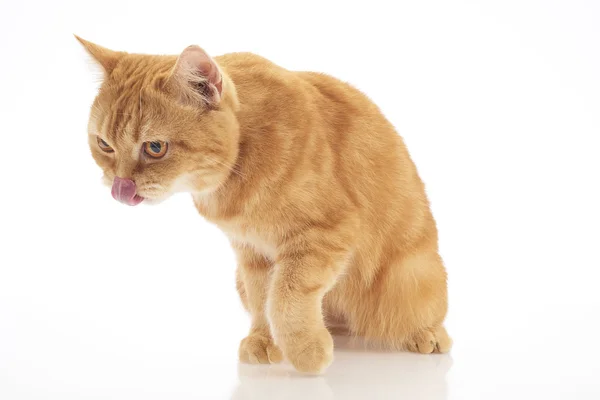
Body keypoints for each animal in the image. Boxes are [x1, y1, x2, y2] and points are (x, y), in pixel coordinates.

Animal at [75, 36, 450, 374]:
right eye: (104, 145)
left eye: (155, 148)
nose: (120, 187)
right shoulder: (252, 253)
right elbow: (263, 299)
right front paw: (264, 341)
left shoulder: (325, 235)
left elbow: (286, 297)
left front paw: (306, 350)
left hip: (408, 278)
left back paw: (427, 335)